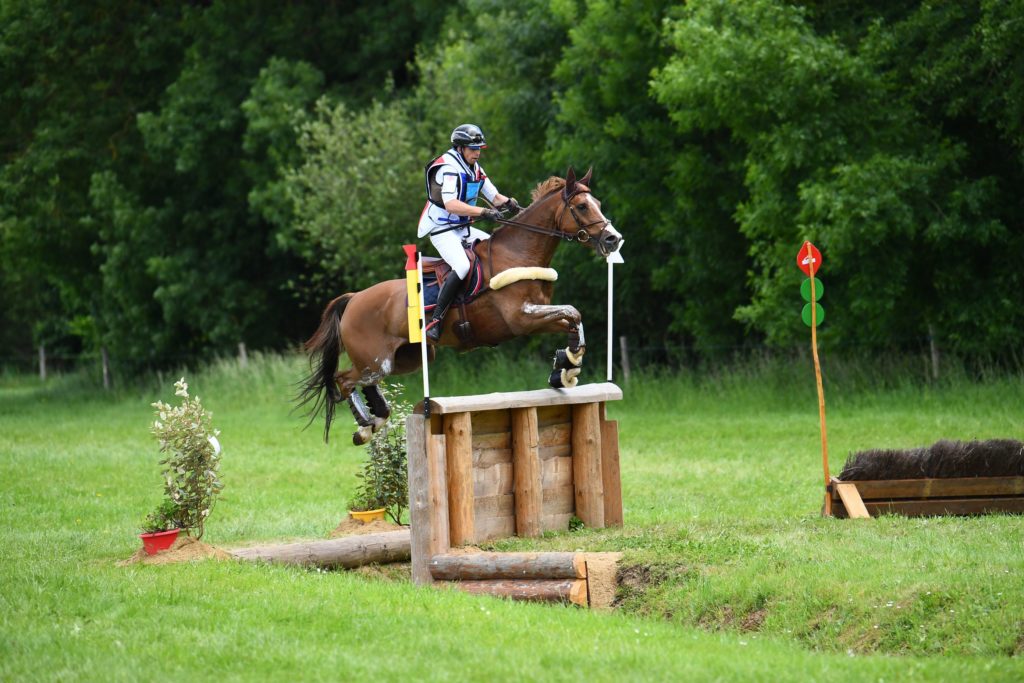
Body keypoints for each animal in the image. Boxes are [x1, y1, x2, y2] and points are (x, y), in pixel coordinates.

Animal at [299, 165, 622, 444]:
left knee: (360, 381)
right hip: (377, 361)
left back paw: (376, 418)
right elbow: (571, 312)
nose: (613, 239)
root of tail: (354, 298)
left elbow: (573, 319)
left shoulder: (536, 318)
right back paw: (366, 425)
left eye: (597, 202)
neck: (519, 253)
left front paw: (566, 366)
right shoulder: (521, 319)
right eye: (582, 207)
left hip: (408, 358)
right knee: (344, 379)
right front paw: (568, 365)